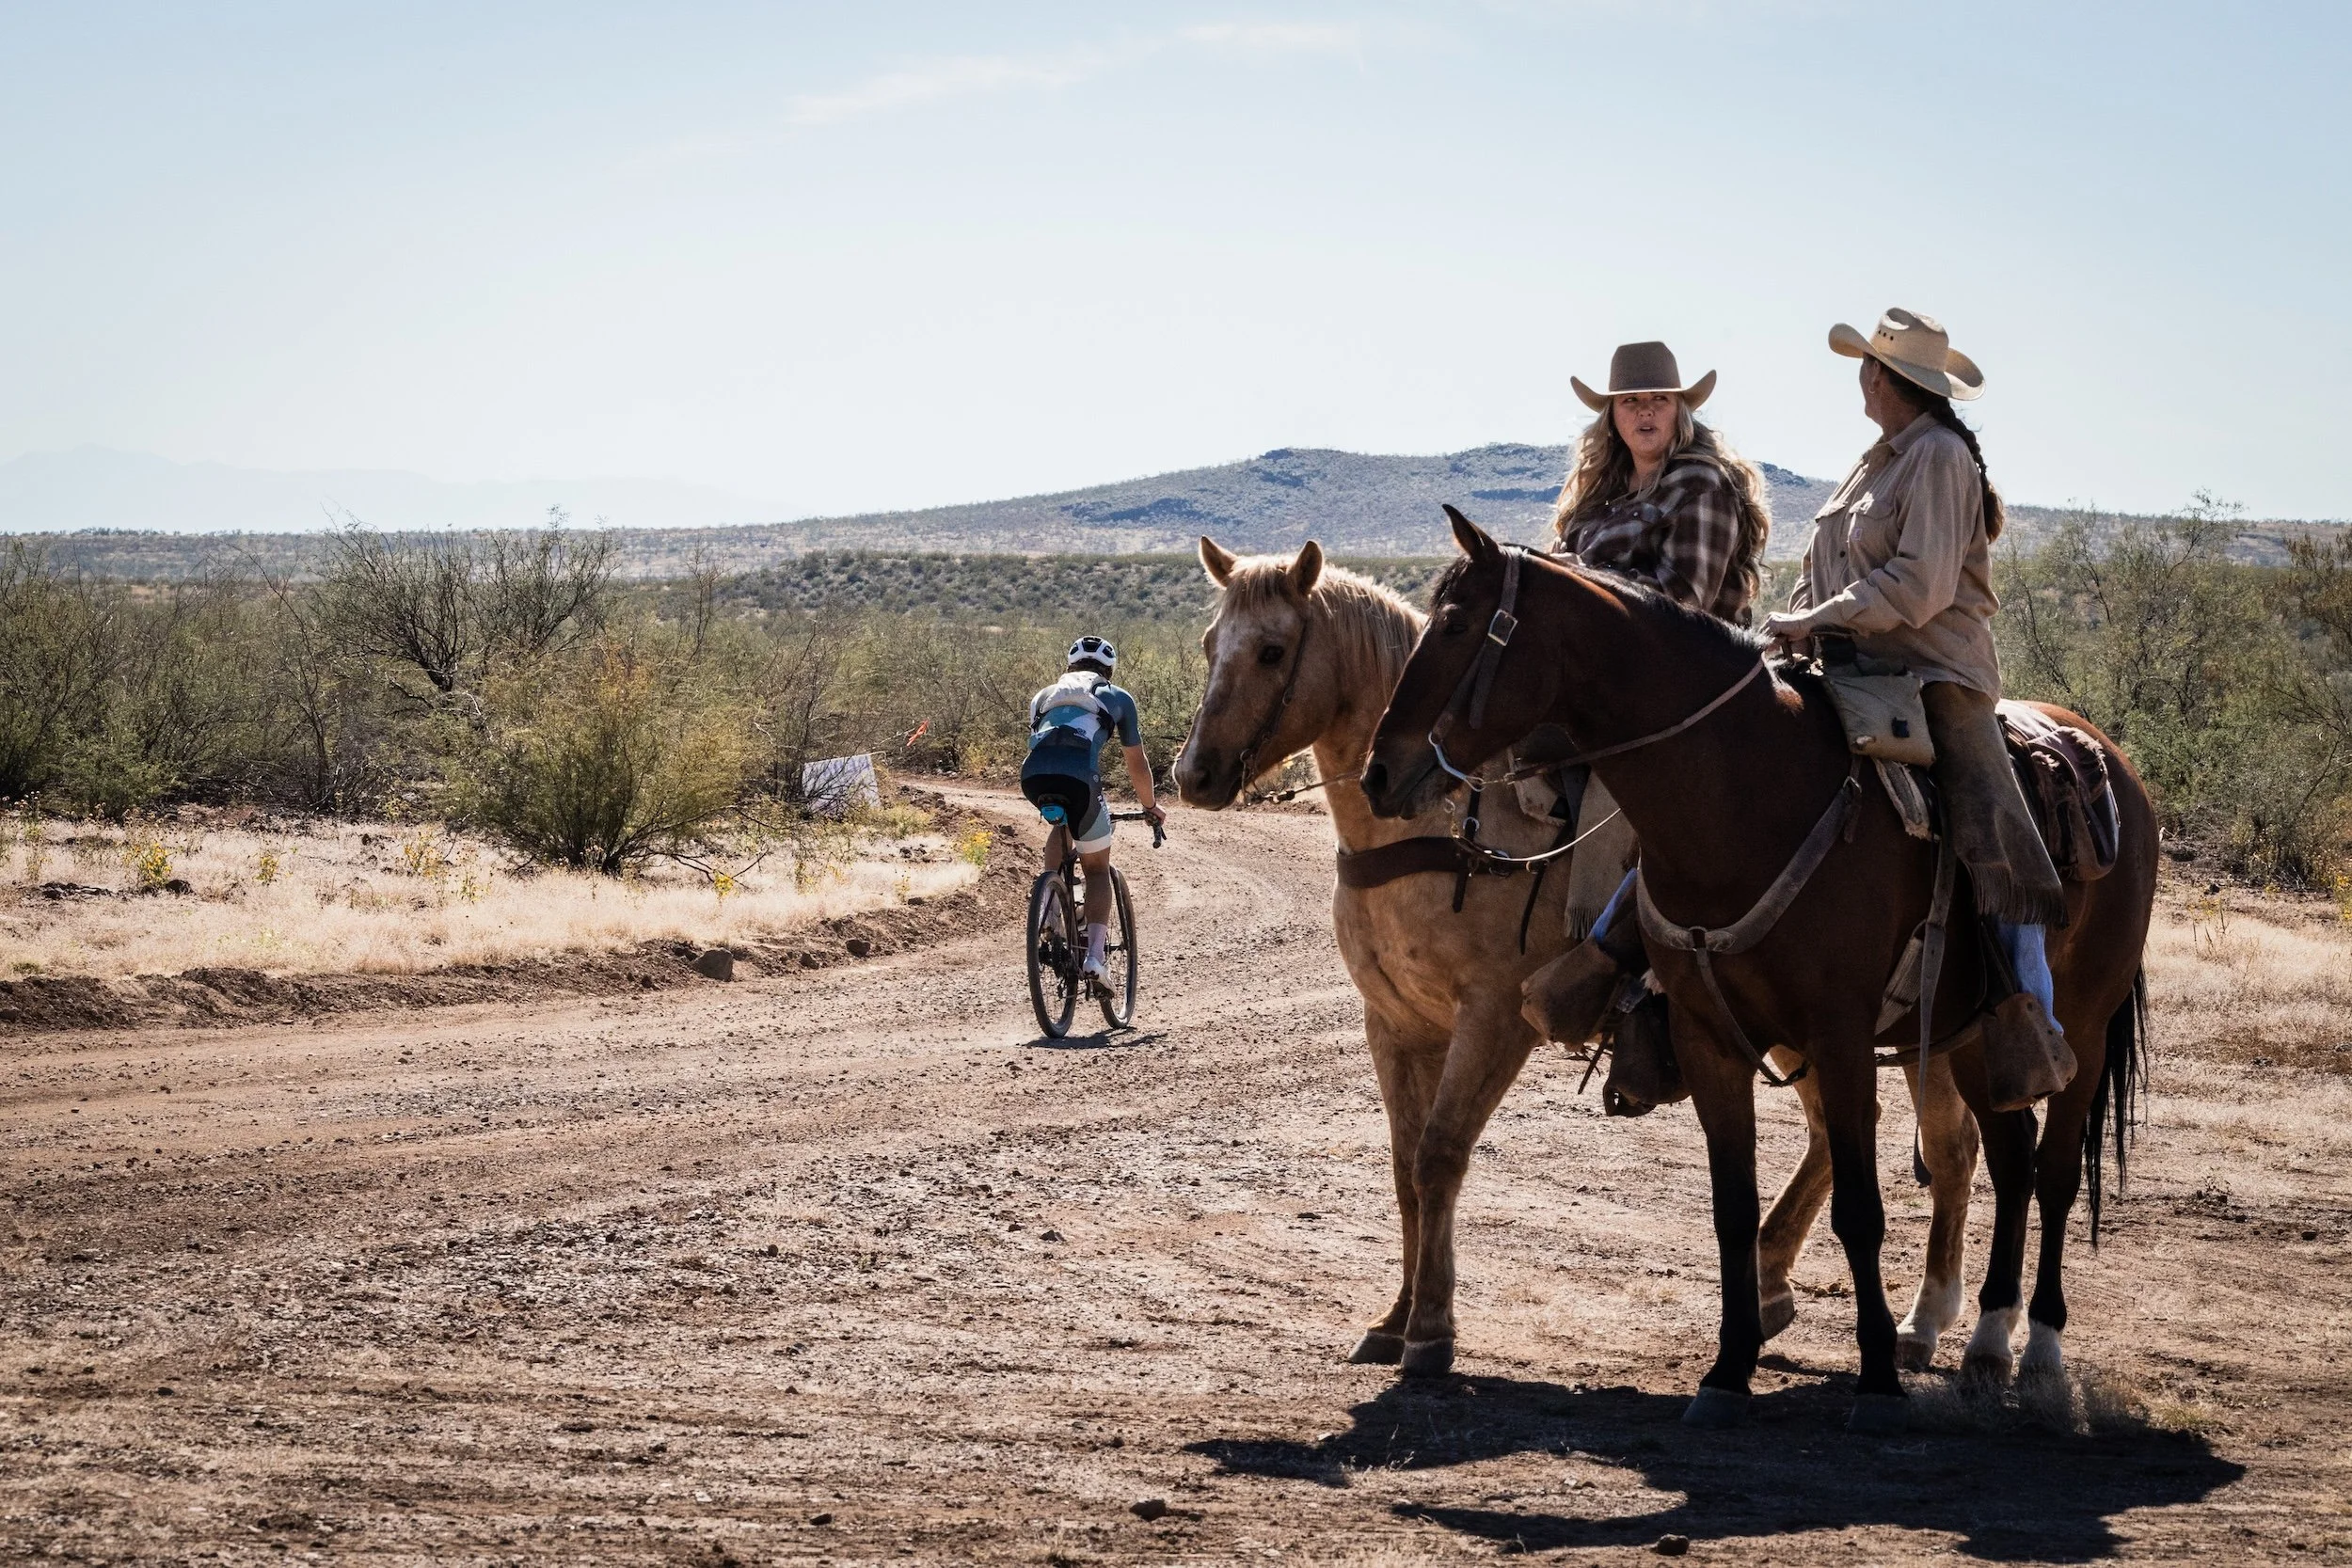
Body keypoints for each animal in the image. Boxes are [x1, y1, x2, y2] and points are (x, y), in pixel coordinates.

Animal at [1173, 536, 1997, 1381]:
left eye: (1273, 651)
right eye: (1209, 645)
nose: (1194, 774)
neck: (1447, 828)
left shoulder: (1493, 1019)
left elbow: (1439, 1155)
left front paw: (1431, 1329)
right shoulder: (1395, 1024)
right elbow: (1405, 1171)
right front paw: (1394, 1317)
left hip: (1900, 1027)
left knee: (1948, 1144)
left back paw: (1927, 1319)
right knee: (1837, 1133)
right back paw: (1772, 1286)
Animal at [1360, 511, 2155, 1431]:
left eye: (1457, 625)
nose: (1380, 771)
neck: (1745, 799)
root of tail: (2117, 765)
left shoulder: (1840, 1038)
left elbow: (1859, 1208)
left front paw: (1875, 1378)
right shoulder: (1710, 1038)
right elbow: (1731, 1208)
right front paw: (1728, 1368)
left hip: (2084, 1024)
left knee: (2054, 1172)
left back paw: (2039, 1353)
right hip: (1969, 1034)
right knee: (2011, 1156)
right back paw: (1987, 1344)